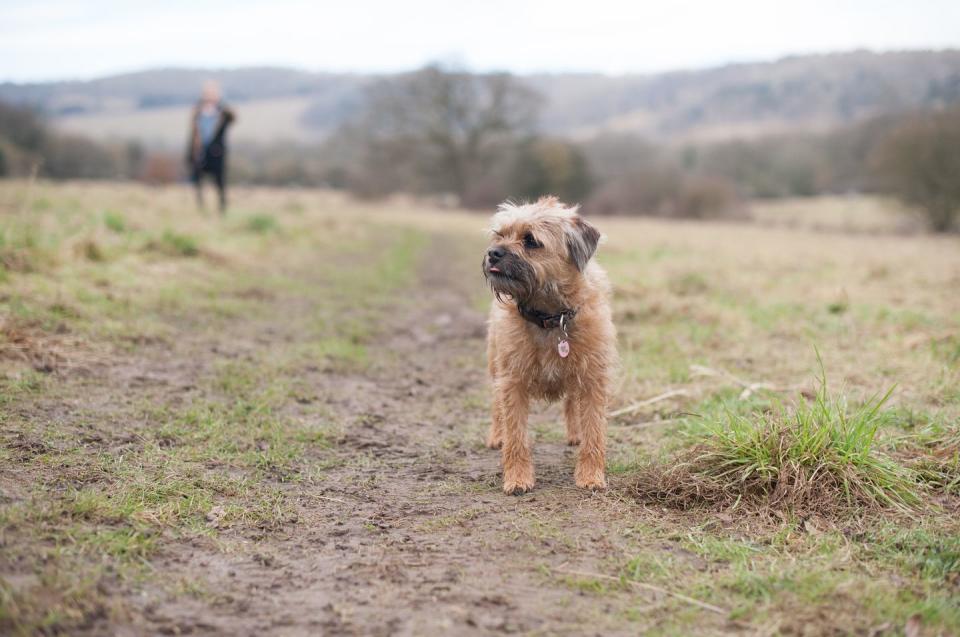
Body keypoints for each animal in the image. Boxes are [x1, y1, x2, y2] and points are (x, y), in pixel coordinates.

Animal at [484, 196, 620, 494]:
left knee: (571, 403)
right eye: (500, 234)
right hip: (495, 366)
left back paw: (575, 434)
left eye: (530, 240)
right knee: (496, 405)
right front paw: (517, 479)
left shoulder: (593, 379)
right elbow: (516, 435)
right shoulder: (512, 382)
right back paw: (496, 436)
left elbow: (594, 431)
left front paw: (591, 476)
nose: (493, 253)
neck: (550, 317)